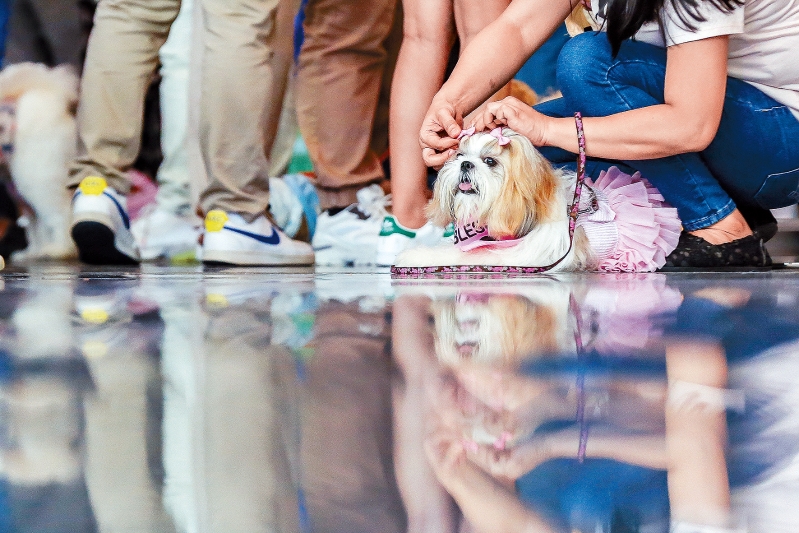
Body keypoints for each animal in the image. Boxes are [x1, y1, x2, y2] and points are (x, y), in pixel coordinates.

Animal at [0, 61, 79, 258]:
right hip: (19, 187)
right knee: (37, 224)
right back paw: (33, 252)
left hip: (37, 178)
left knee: (60, 214)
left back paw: (59, 249)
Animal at [396, 127, 680, 272]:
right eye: (459, 155)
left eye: (490, 161)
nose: (465, 164)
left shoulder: (519, 257)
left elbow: (460, 256)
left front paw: (414, 256)